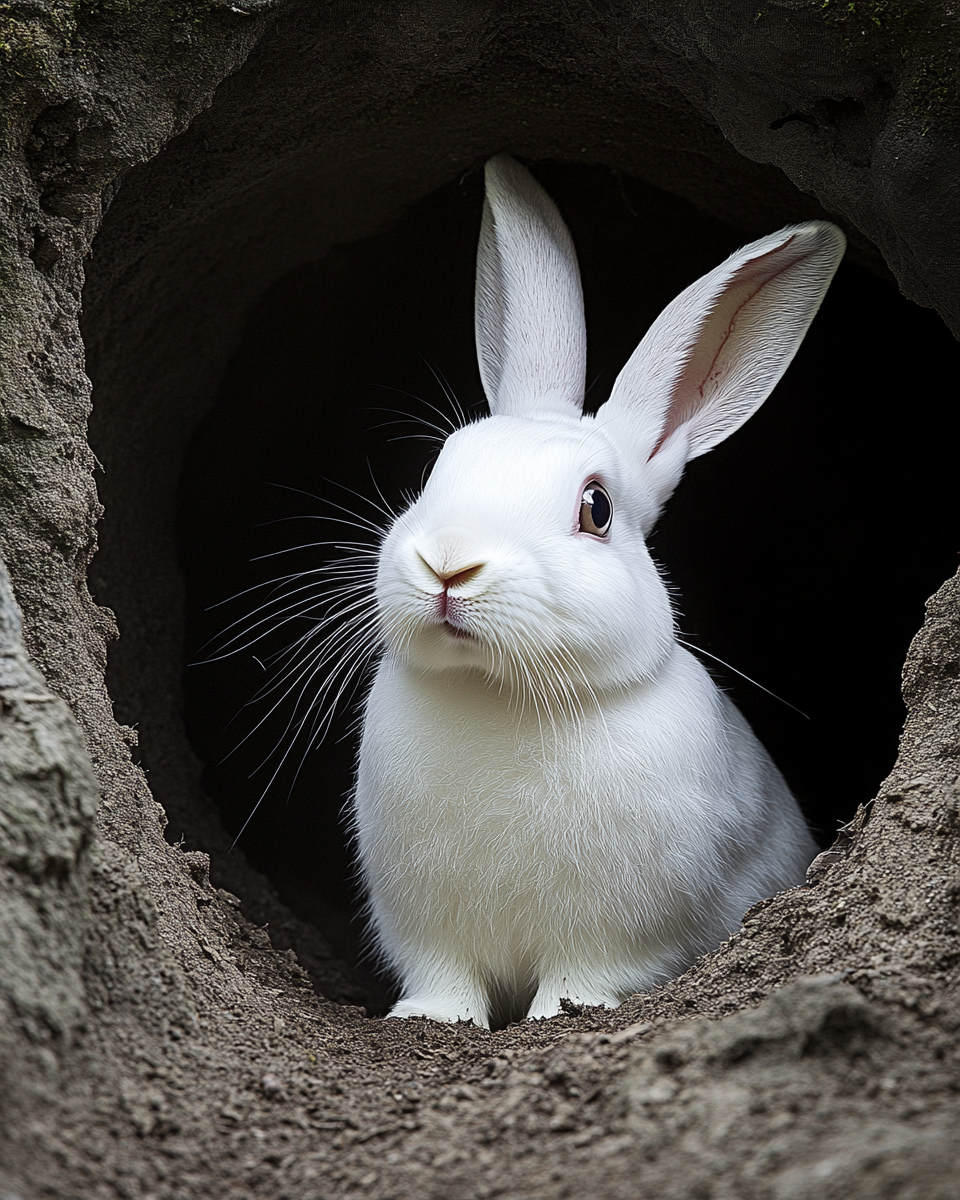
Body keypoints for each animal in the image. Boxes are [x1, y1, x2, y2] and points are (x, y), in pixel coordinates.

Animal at [352, 154, 842, 1029]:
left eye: (596, 509)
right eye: (442, 465)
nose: (448, 565)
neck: (501, 694)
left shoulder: (619, 935)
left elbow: (584, 978)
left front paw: (558, 1015)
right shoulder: (428, 934)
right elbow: (445, 980)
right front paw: (431, 1019)